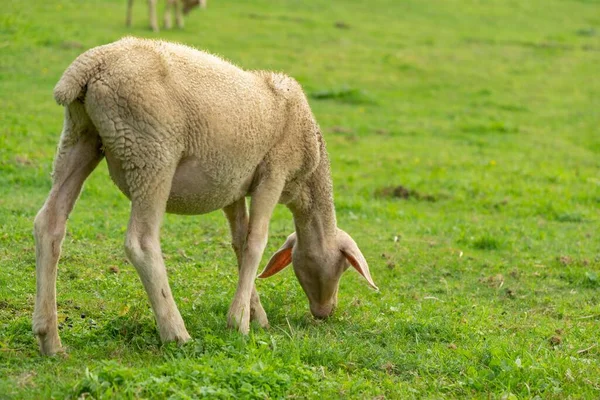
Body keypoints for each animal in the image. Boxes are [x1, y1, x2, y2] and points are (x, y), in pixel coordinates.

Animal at [32, 38, 378, 356]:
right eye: (343, 267)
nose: (325, 312)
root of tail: (91, 65)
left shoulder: (233, 187)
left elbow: (240, 244)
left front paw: (255, 314)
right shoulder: (274, 172)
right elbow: (256, 242)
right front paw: (238, 322)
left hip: (80, 136)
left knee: (48, 223)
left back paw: (50, 339)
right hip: (151, 152)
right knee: (141, 242)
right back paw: (176, 333)